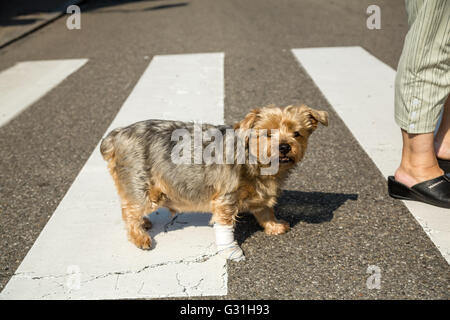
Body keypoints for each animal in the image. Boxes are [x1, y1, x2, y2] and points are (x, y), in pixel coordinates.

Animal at [101, 105, 326, 258]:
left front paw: (273, 225)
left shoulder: (260, 193)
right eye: (267, 133)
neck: (258, 162)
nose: (285, 146)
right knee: (130, 210)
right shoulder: (226, 197)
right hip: (142, 184)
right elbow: (225, 222)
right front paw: (231, 250)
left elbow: (265, 210)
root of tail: (117, 134)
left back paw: (144, 223)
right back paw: (139, 236)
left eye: (297, 133)